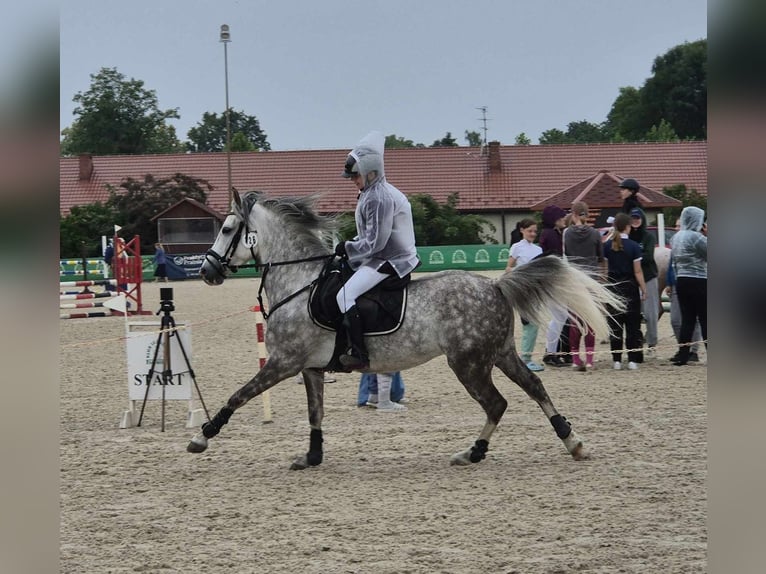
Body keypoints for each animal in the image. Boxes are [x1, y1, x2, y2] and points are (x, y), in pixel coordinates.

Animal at [187, 191, 624, 470]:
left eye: (226, 229)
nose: (206, 271)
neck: (299, 281)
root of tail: (494, 285)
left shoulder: (283, 362)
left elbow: (238, 395)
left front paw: (202, 436)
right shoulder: (308, 367)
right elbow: (315, 412)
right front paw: (312, 457)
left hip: (468, 363)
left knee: (496, 403)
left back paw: (473, 453)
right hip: (499, 353)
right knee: (533, 389)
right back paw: (571, 441)